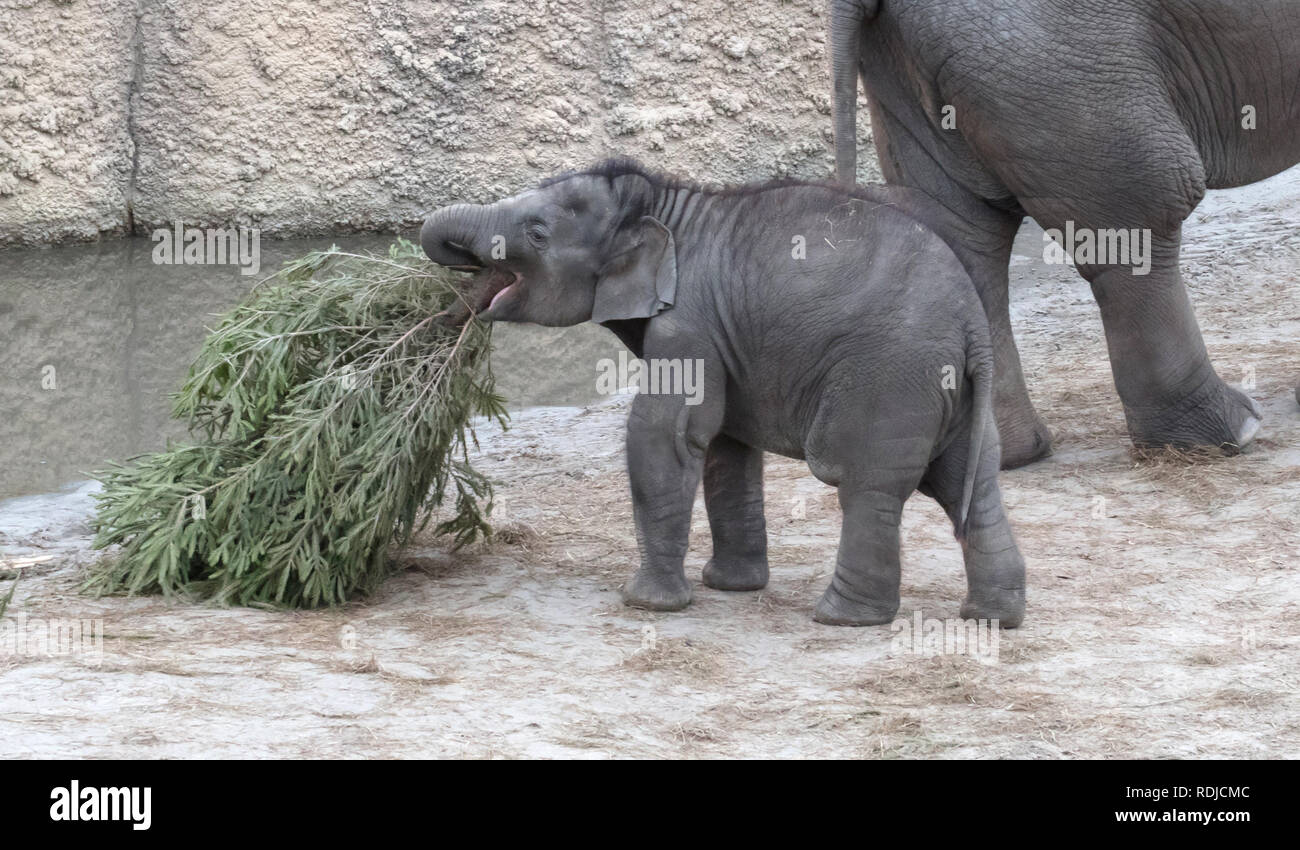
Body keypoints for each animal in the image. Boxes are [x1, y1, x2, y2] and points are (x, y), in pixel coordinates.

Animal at [418, 157, 1024, 626]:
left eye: (537, 233)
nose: (449, 316)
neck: (663, 204)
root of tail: (973, 323)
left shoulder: (688, 321)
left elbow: (666, 433)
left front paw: (647, 604)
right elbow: (727, 446)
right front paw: (731, 587)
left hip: (889, 378)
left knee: (865, 483)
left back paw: (843, 618)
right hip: (954, 391)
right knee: (972, 483)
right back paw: (992, 617)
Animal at [832, 0, 1300, 470]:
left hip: (911, 65)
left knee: (965, 233)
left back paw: (1003, 454)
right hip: (1058, 59)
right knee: (1143, 209)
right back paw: (1229, 434)